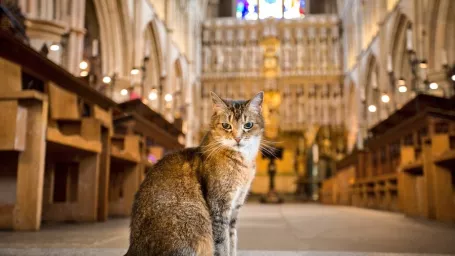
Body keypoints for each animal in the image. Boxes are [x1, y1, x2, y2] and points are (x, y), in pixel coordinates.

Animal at [126, 92, 266, 256]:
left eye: (248, 125)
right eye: (226, 125)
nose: (237, 138)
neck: (243, 162)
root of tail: (133, 247)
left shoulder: (235, 207)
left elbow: (232, 240)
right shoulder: (219, 208)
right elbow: (222, 243)